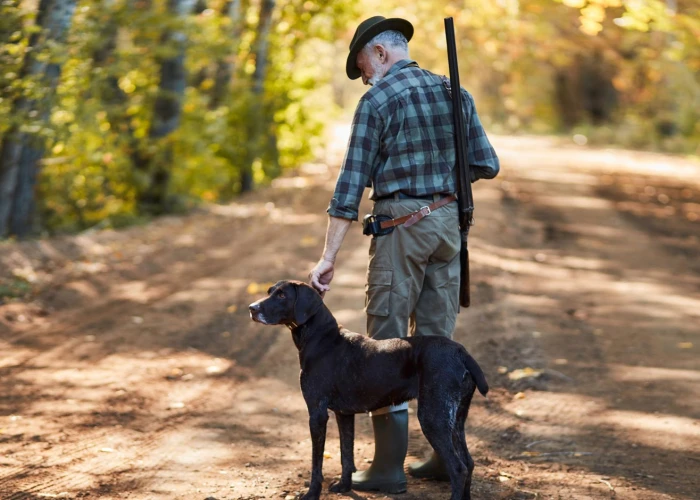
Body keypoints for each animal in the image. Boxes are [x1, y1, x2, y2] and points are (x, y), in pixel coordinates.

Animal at [250, 282, 486, 500]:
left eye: (282, 295)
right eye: (270, 291)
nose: (251, 308)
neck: (322, 338)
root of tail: (461, 351)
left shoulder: (317, 414)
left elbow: (317, 463)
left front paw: (312, 494)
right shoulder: (344, 414)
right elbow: (346, 454)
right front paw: (344, 486)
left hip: (433, 417)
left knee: (458, 469)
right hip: (456, 418)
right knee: (469, 463)